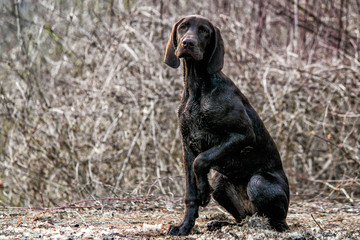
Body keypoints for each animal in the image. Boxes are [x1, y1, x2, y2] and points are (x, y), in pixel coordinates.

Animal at [163, 15, 290, 236]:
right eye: (183, 27)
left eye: (204, 31)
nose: (188, 42)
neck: (197, 88)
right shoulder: (187, 144)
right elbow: (190, 194)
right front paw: (185, 226)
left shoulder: (243, 135)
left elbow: (201, 161)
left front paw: (203, 192)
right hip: (221, 182)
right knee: (242, 218)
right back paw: (221, 223)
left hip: (258, 182)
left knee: (276, 222)